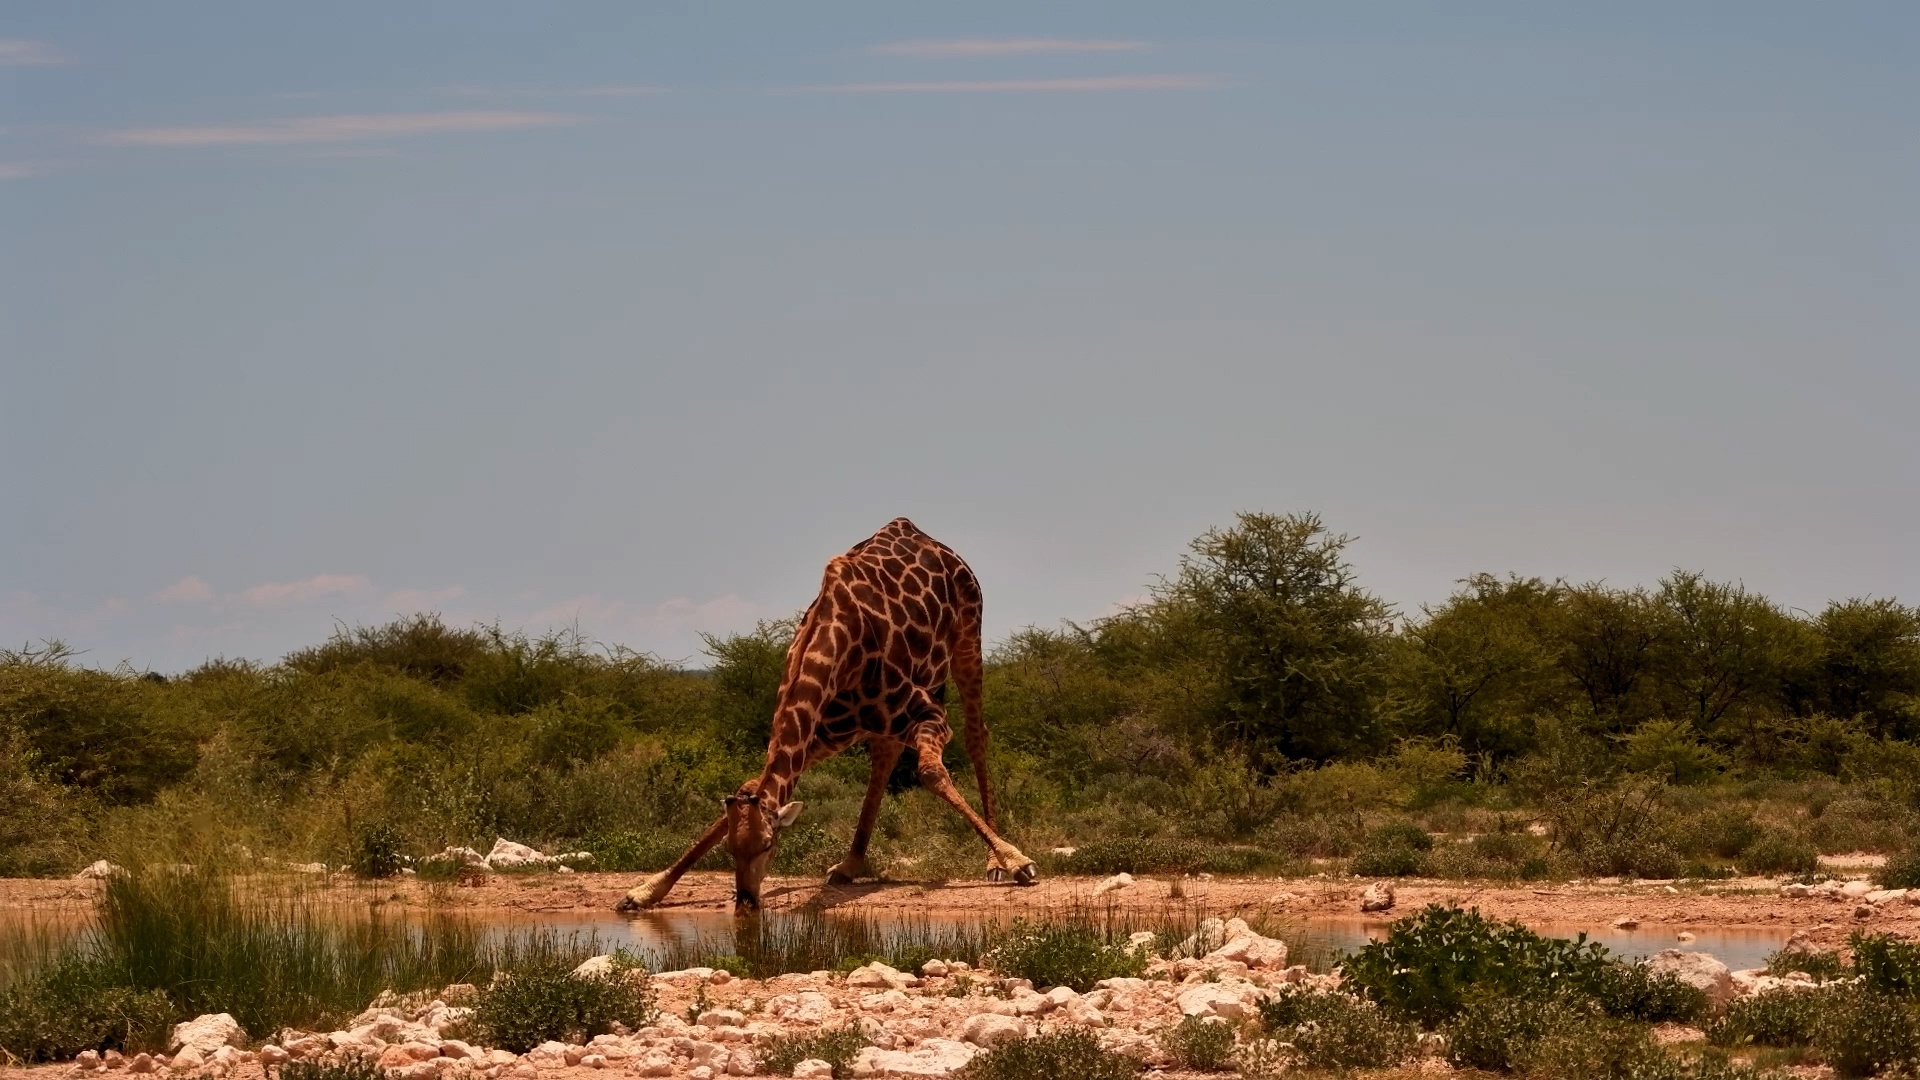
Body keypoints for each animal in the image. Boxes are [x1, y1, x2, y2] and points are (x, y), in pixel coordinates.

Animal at [616, 518, 1037, 913]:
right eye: (731, 851)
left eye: (768, 845)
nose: (747, 900)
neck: (837, 646)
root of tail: (926, 537)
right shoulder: (822, 735)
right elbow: (749, 787)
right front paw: (644, 891)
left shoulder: (929, 714)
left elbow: (931, 772)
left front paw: (1017, 861)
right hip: (878, 719)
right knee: (884, 755)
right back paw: (850, 864)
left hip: (968, 637)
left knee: (976, 733)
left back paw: (993, 863)